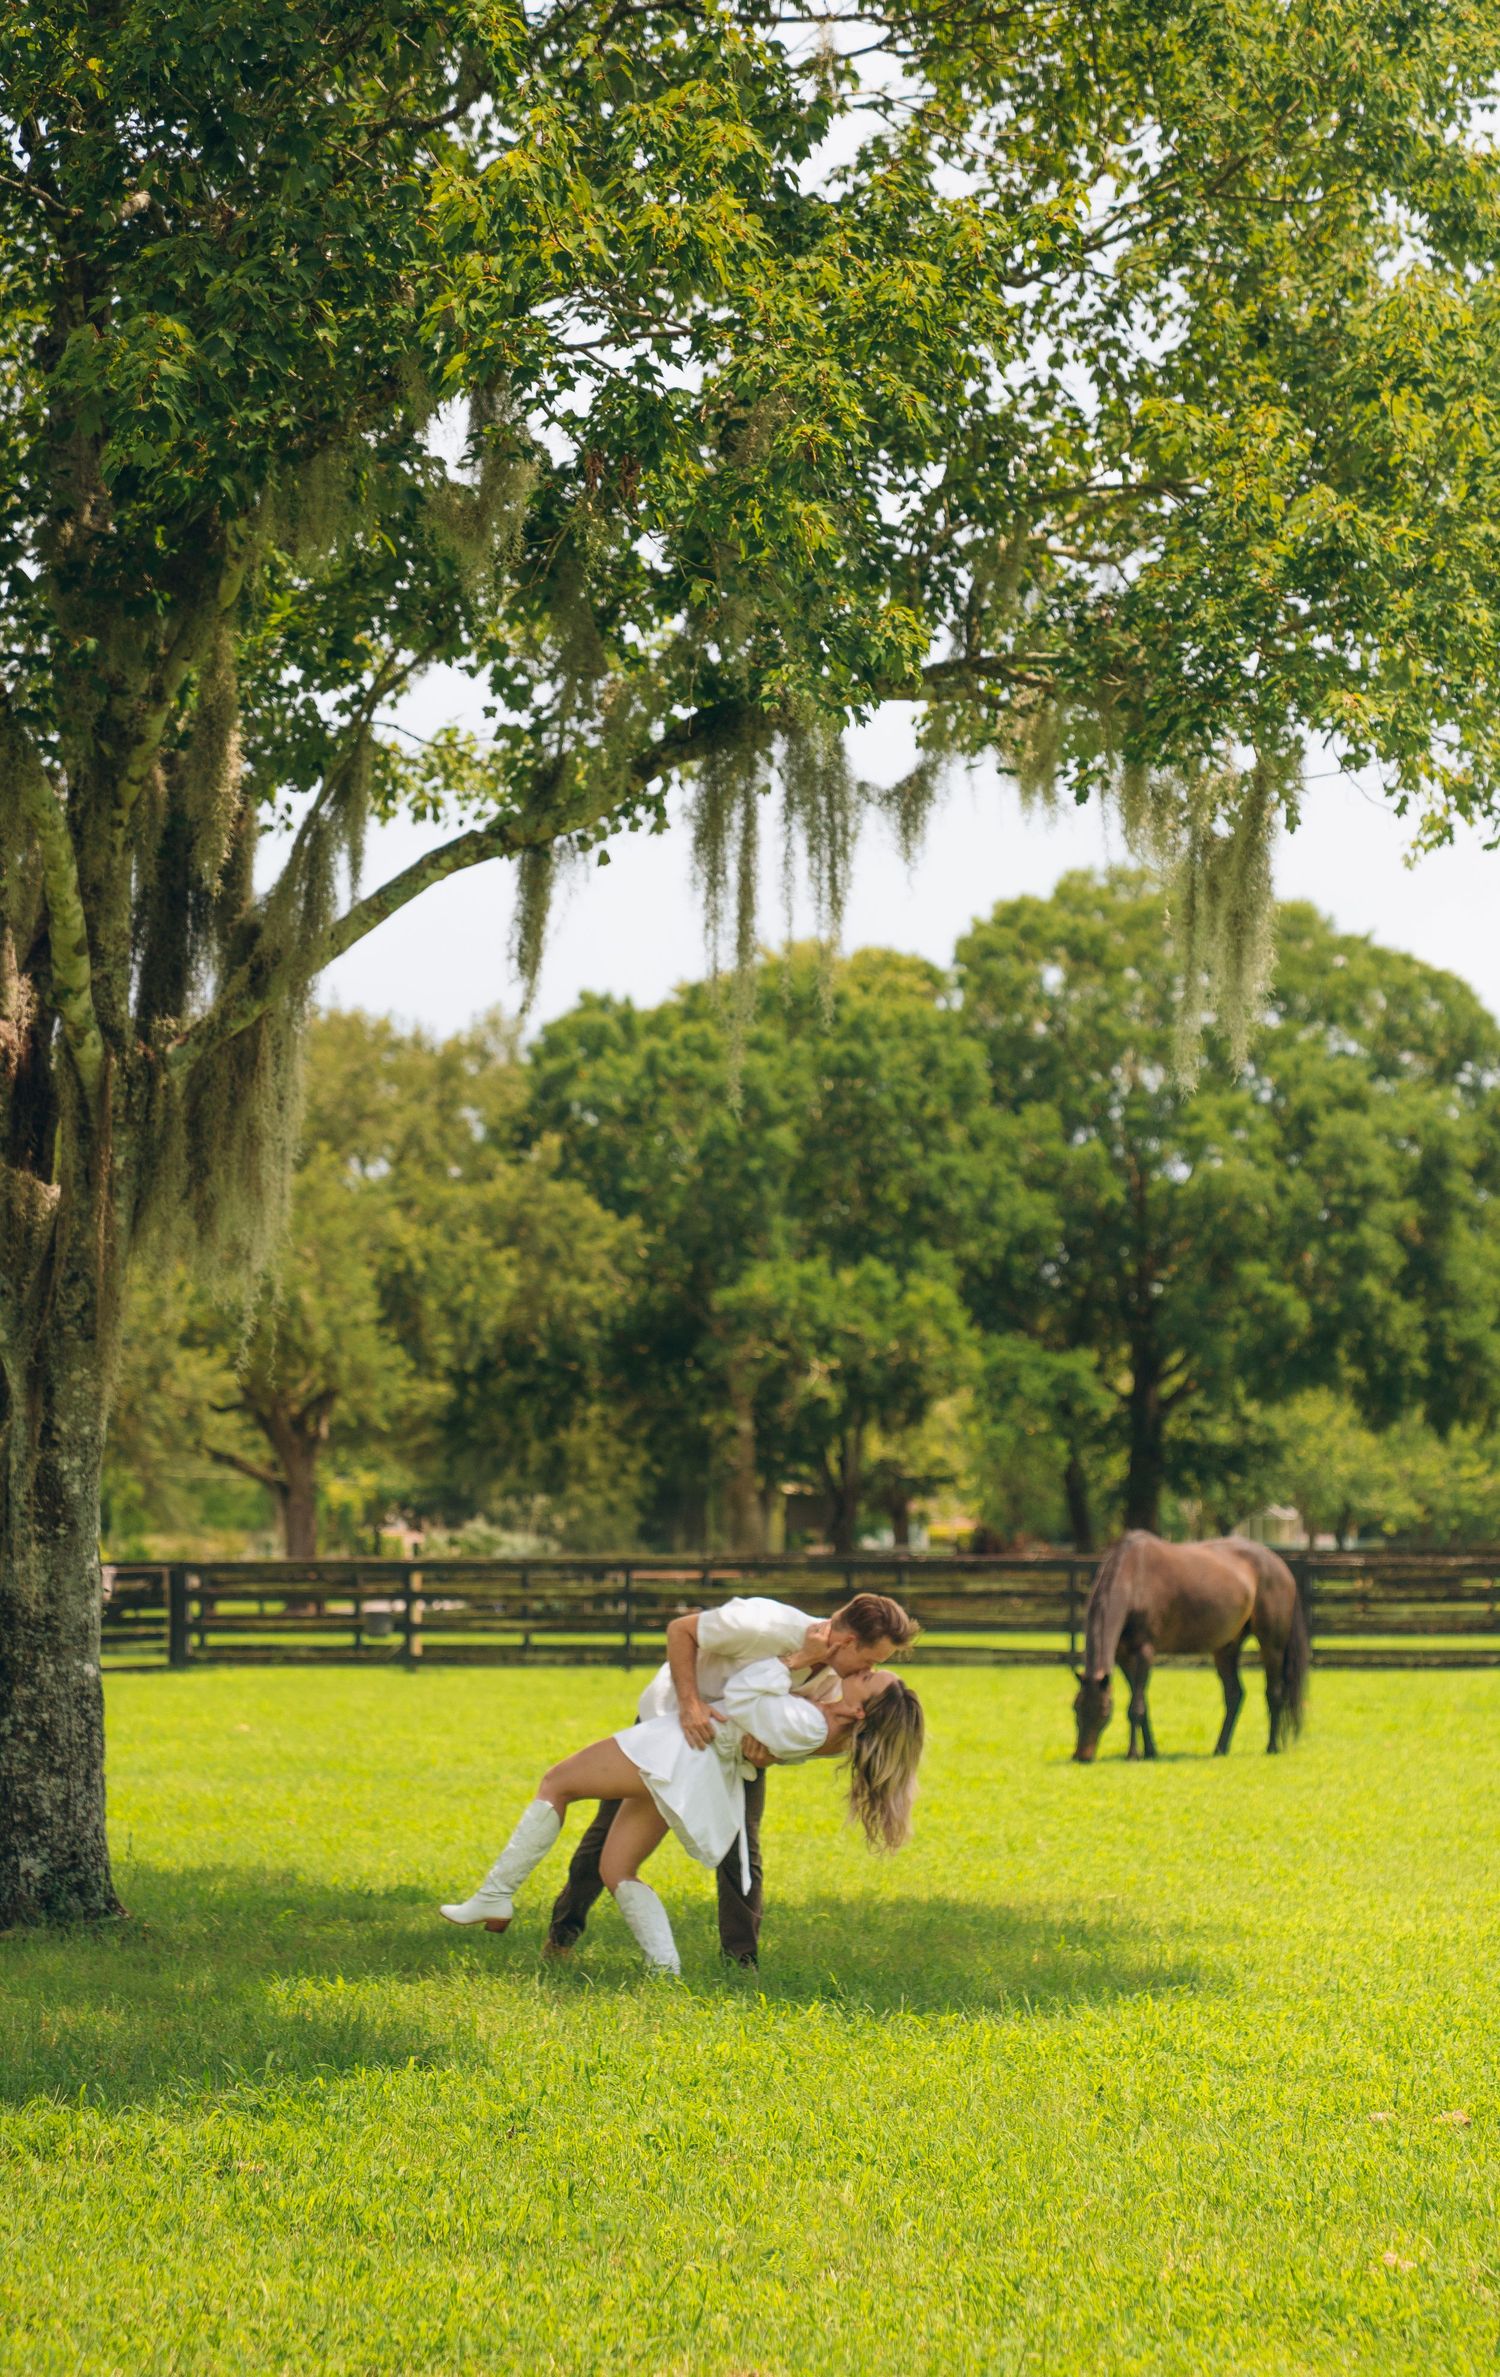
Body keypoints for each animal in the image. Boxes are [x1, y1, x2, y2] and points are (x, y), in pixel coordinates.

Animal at [1071, 1531, 1308, 1762]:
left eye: (1104, 1712)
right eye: (1075, 1707)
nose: (1082, 1756)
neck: (1134, 1579)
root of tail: (1281, 1566)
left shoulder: (1144, 1652)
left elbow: (1135, 1708)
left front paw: (1133, 1754)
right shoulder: (1123, 1656)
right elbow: (1142, 1704)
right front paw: (1150, 1751)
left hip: (1272, 1646)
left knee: (1274, 1693)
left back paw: (1272, 1747)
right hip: (1227, 1648)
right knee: (1234, 1694)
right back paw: (1220, 1748)